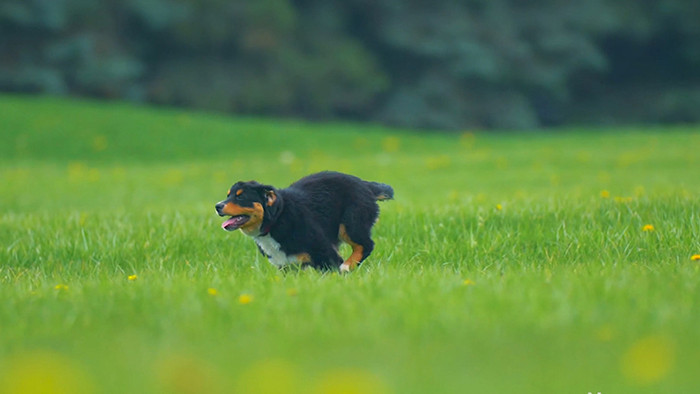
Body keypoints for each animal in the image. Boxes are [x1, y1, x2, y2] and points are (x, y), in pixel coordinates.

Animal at [213, 171, 394, 272]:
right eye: (229, 195)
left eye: (240, 196)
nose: (217, 206)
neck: (276, 221)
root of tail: (365, 185)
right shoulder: (286, 266)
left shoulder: (325, 252)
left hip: (351, 223)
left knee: (366, 245)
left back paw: (347, 267)